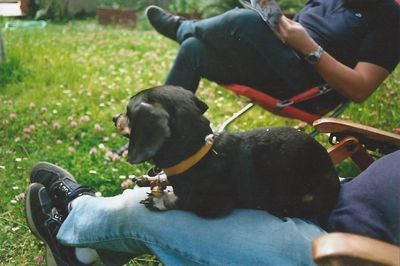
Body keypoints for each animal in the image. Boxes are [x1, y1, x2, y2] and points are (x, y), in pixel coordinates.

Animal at [113, 85, 340, 222]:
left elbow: (184, 201)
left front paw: (160, 201)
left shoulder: (214, 206)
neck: (200, 153)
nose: (114, 118)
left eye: (128, 112)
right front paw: (153, 179)